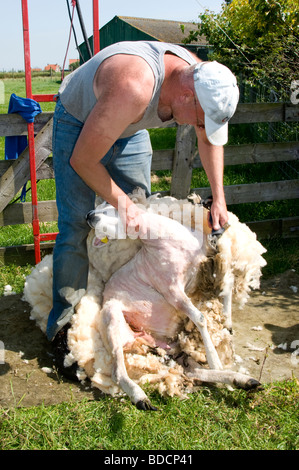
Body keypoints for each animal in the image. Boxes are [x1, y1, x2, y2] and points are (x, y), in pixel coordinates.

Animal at [22, 187, 268, 408]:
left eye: (108, 206)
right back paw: (140, 397)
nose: (89, 216)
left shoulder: (195, 272)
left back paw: (241, 380)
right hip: (113, 321)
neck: (164, 239)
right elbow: (200, 318)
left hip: (172, 348)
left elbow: (223, 287)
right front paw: (215, 359)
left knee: (191, 370)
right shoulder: (171, 288)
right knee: (118, 371)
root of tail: (146, 339)